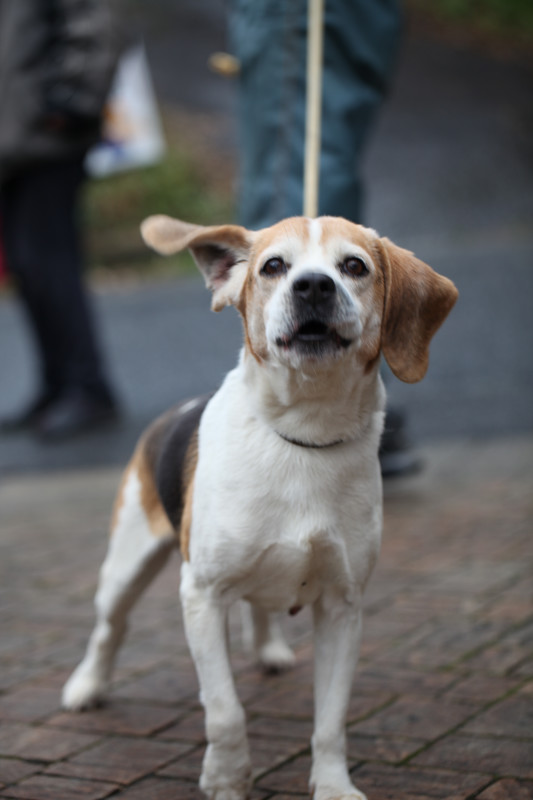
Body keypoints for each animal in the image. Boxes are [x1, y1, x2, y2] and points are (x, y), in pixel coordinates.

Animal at [61, 216, 454, 800]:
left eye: (354, 266)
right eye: (273, 266)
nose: (313, 286)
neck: (304, 436)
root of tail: (173, 411)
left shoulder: (343, 607)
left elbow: (330, 720)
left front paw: (333, 785)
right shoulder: (201, 597)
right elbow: (225, 712)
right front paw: (226, 779)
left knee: (259, 606)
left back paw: (268, 649)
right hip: (125, 567)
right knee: (110, 628)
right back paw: (87, 686)